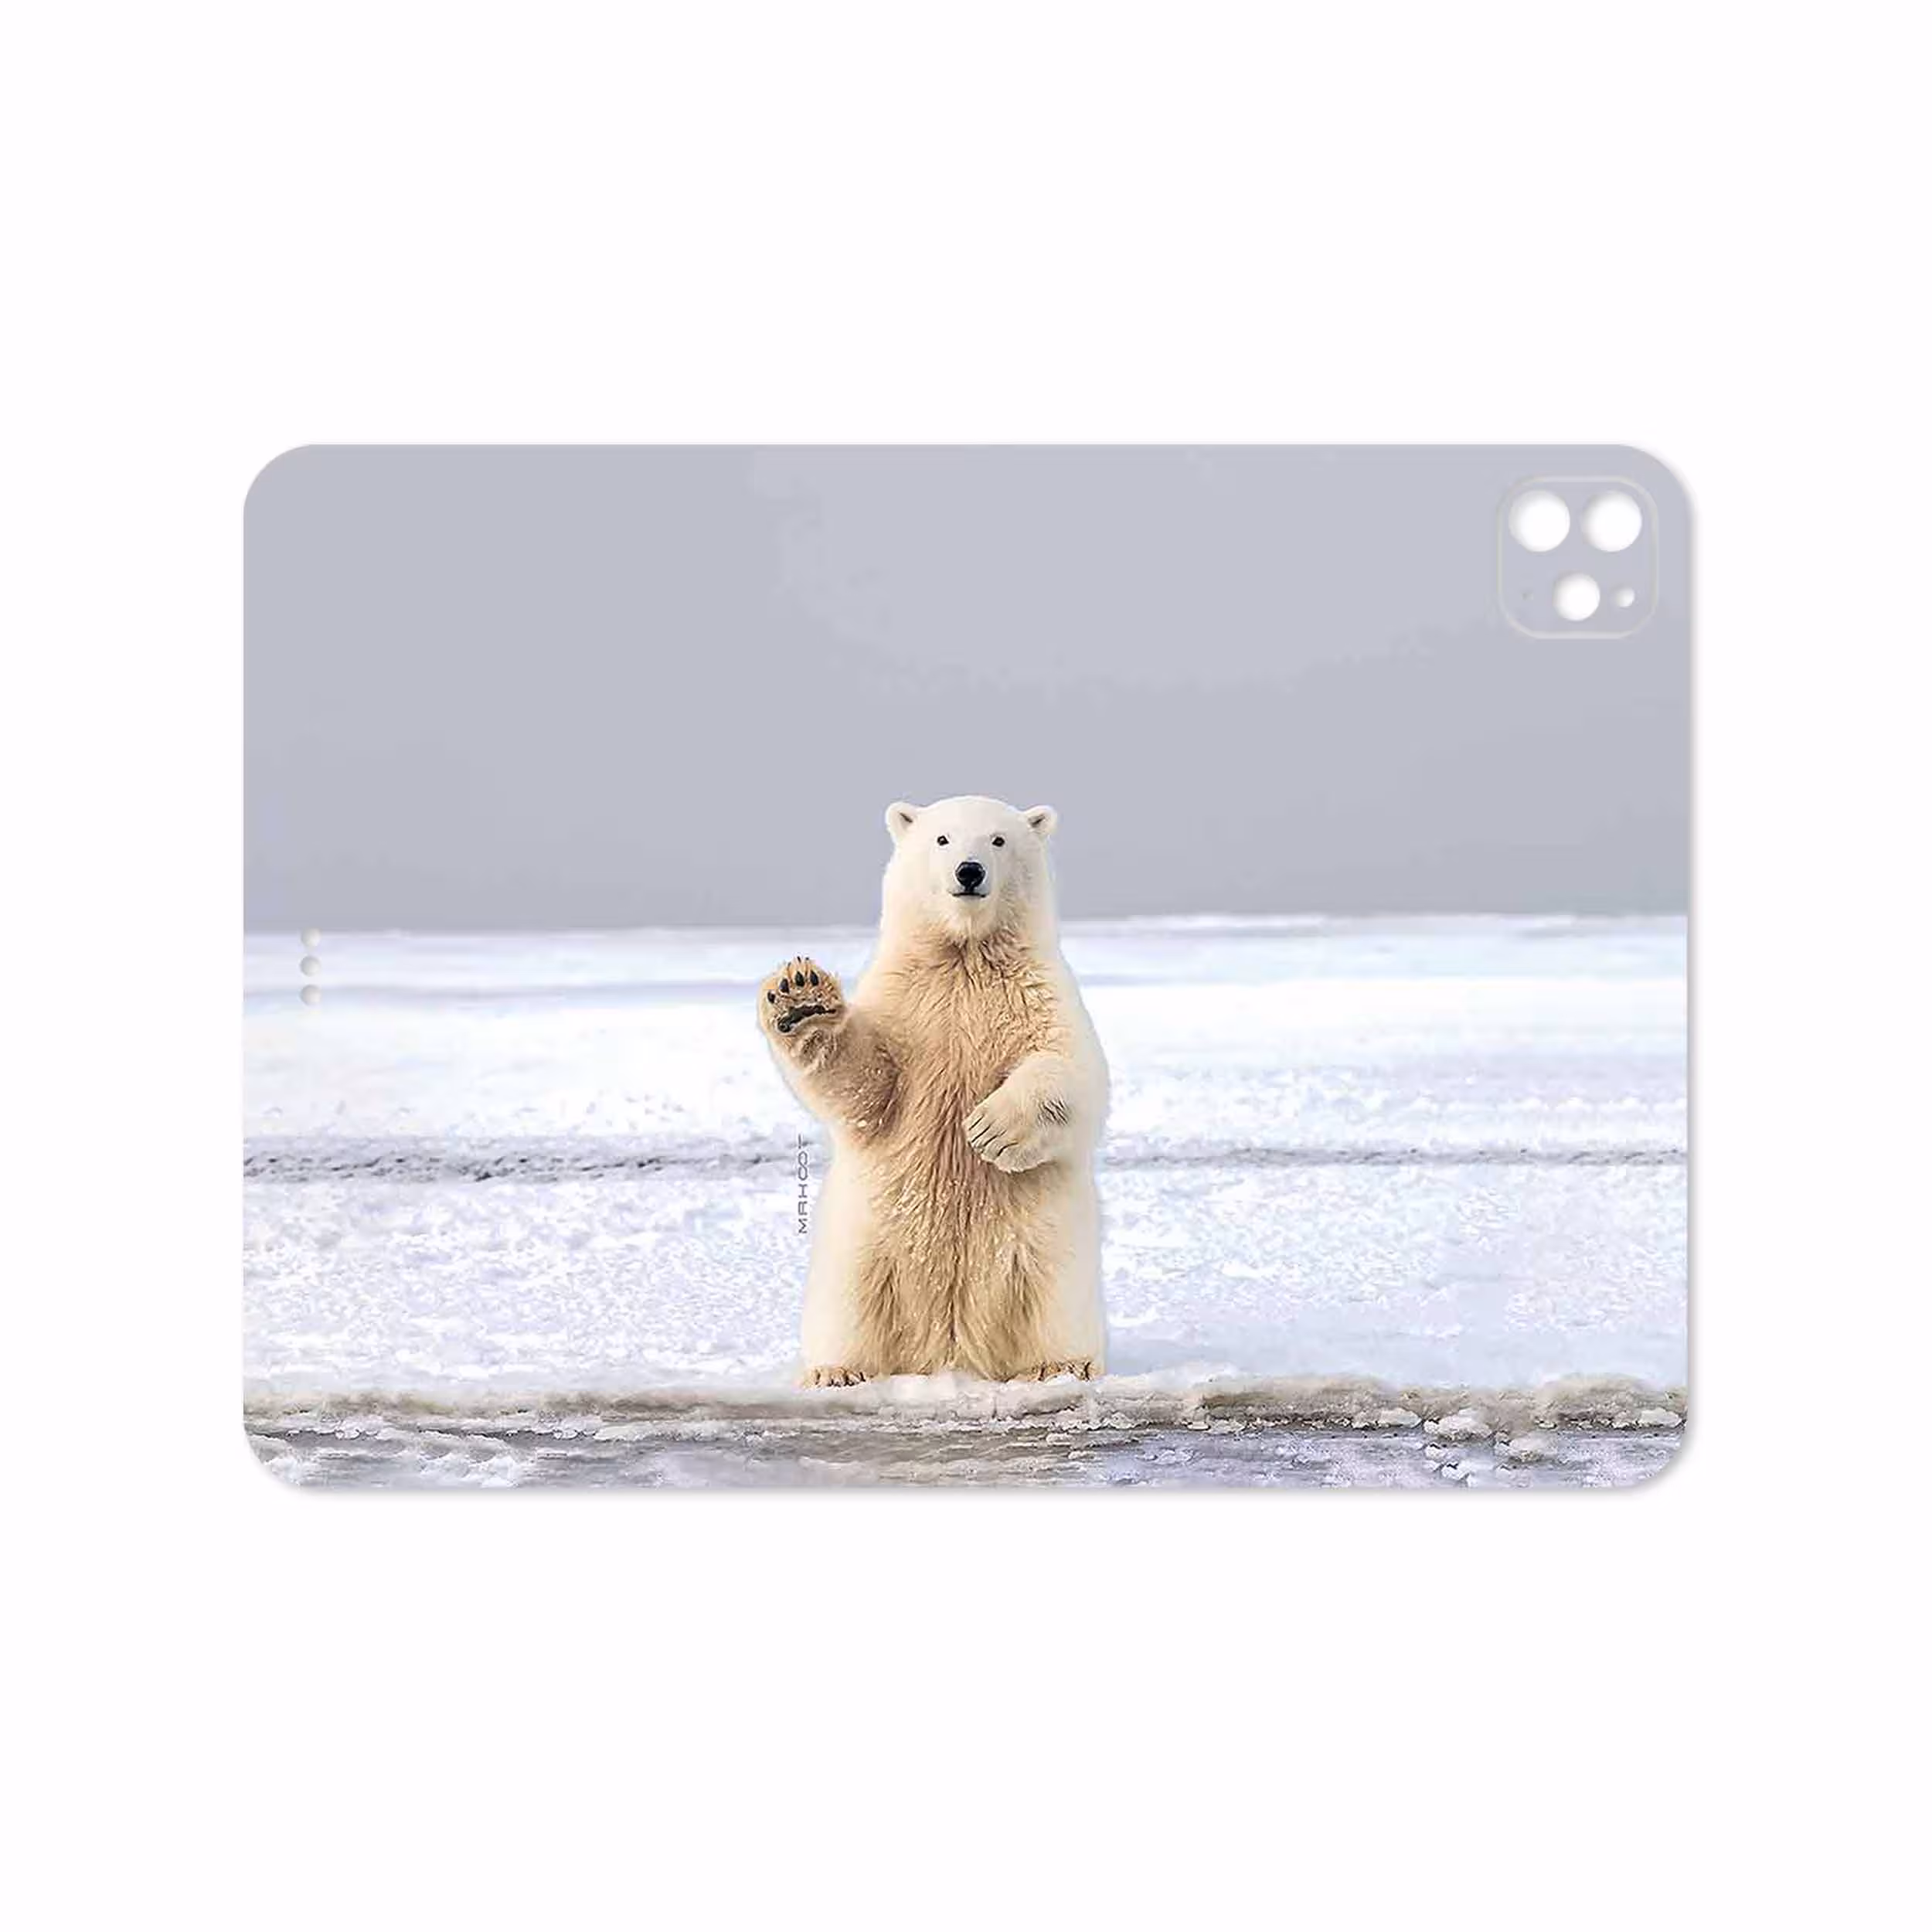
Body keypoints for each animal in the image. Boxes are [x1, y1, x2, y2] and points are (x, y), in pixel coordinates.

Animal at [758, 795, 1109, 1386]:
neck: (964, 956)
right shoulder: (905, 1003)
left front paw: (990, 1129)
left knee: (1054, 1297)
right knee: (849, 1305)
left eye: (998, 840)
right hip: (863, 1247)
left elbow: (1074, 1071)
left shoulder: (1040, 994)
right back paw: (837, 1371)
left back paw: (1061, 1365)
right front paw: (800, 999)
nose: (969, 872)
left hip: (1049, 1247)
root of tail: (950, 1351)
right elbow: (867, 1085)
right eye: (942, 839)